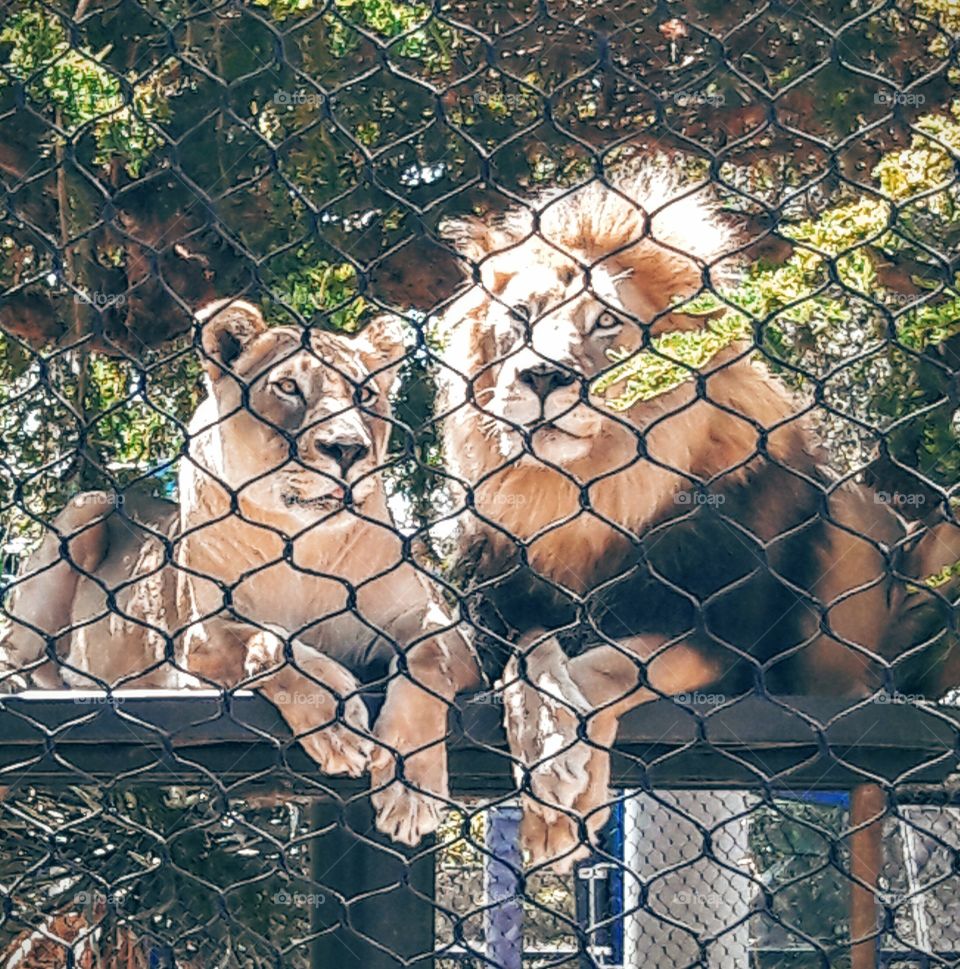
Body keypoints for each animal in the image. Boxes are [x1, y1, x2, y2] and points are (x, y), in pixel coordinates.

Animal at [0, 298, 480, 844]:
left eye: (365, 394)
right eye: (288, 386)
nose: (348, 449)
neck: (304, 547)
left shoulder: (439, 624)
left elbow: (428, 662)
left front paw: (409, 789)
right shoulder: (198, 637)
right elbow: (267, 642)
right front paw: (336, 722)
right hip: (87, 508)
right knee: (17, 645)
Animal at [438, 166, 960, 868]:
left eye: (605, 322)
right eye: (520, 316)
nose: (541, 376)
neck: (581, 495)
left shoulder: (724, 645)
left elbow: (607, 664)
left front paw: (563, 788)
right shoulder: (498, 611)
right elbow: (531, 657)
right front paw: (545, 746)